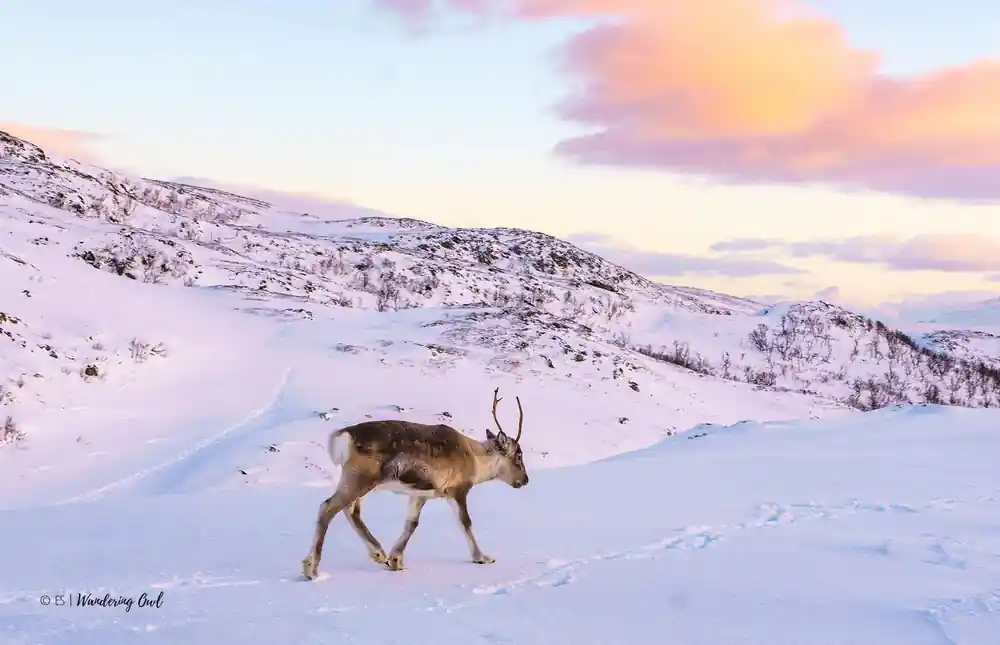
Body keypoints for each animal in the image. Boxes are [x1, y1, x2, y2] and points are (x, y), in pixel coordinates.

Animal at [301, 387, 529, 581]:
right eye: (518, 456)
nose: (525, 480)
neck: (476, 458)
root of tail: (341, 436)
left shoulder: (419, 494)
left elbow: (412, 523)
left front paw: (396, 560)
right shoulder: (458, 490)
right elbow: (466, 522)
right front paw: (482, 557)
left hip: (360, 481)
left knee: (351, 510)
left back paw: (379, 554)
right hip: (360, 478)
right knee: (328, 507)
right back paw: (311, 568)